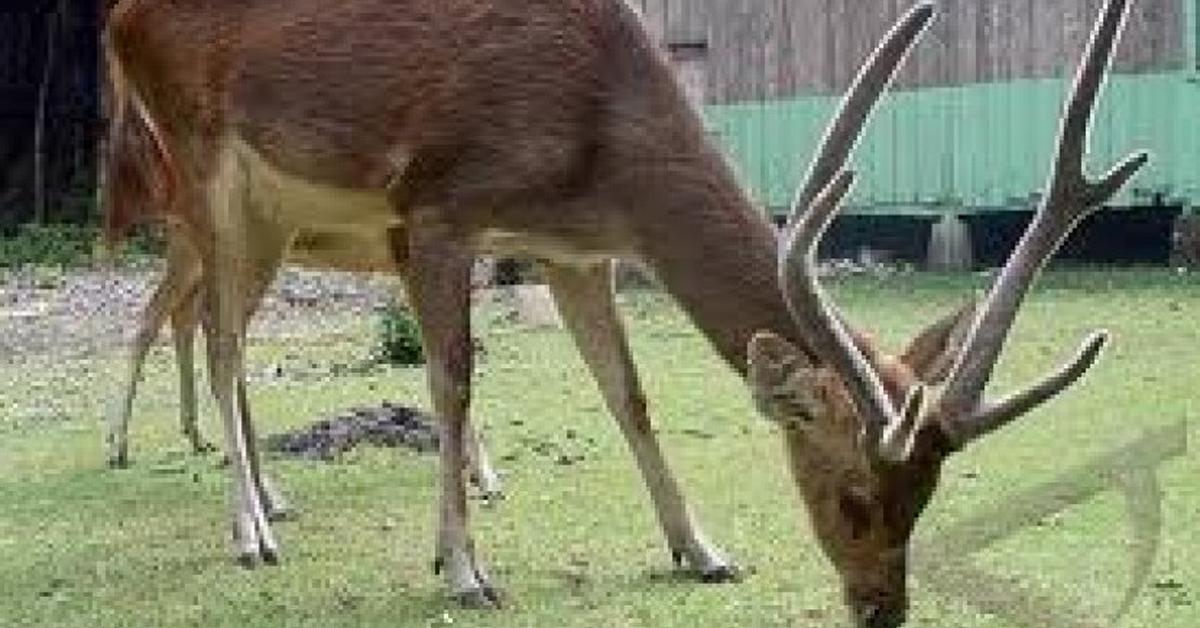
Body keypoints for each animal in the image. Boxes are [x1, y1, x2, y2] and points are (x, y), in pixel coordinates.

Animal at [103, 0, 1142, 624]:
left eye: (927, 497)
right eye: (853, 494)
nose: (881, 606)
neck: (598, 140)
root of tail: (119, 16)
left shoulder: (579, 251)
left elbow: (628, 395)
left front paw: (704, 550)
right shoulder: (435, 212)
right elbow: (452, 384)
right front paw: (465, 570)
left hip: (275, 217)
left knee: (229, 335)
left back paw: (273, 495)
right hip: (202, 177)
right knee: (218, 337)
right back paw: (251, 531)